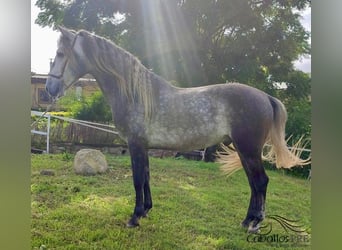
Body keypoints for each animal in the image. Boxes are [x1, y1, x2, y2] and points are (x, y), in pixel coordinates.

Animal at [45, 25, 310, 232]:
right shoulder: (144, 146)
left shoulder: (135, 144)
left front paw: (134, 217)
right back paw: (247, 221)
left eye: (60, 53)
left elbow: (138, 179)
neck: (136, 93)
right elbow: (147, 177)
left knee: (261, 182)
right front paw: (146, 211)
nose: (49, 89)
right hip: (246, 151)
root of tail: (265, 97)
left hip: (249, 149)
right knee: (254, 184)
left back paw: (255, 224)